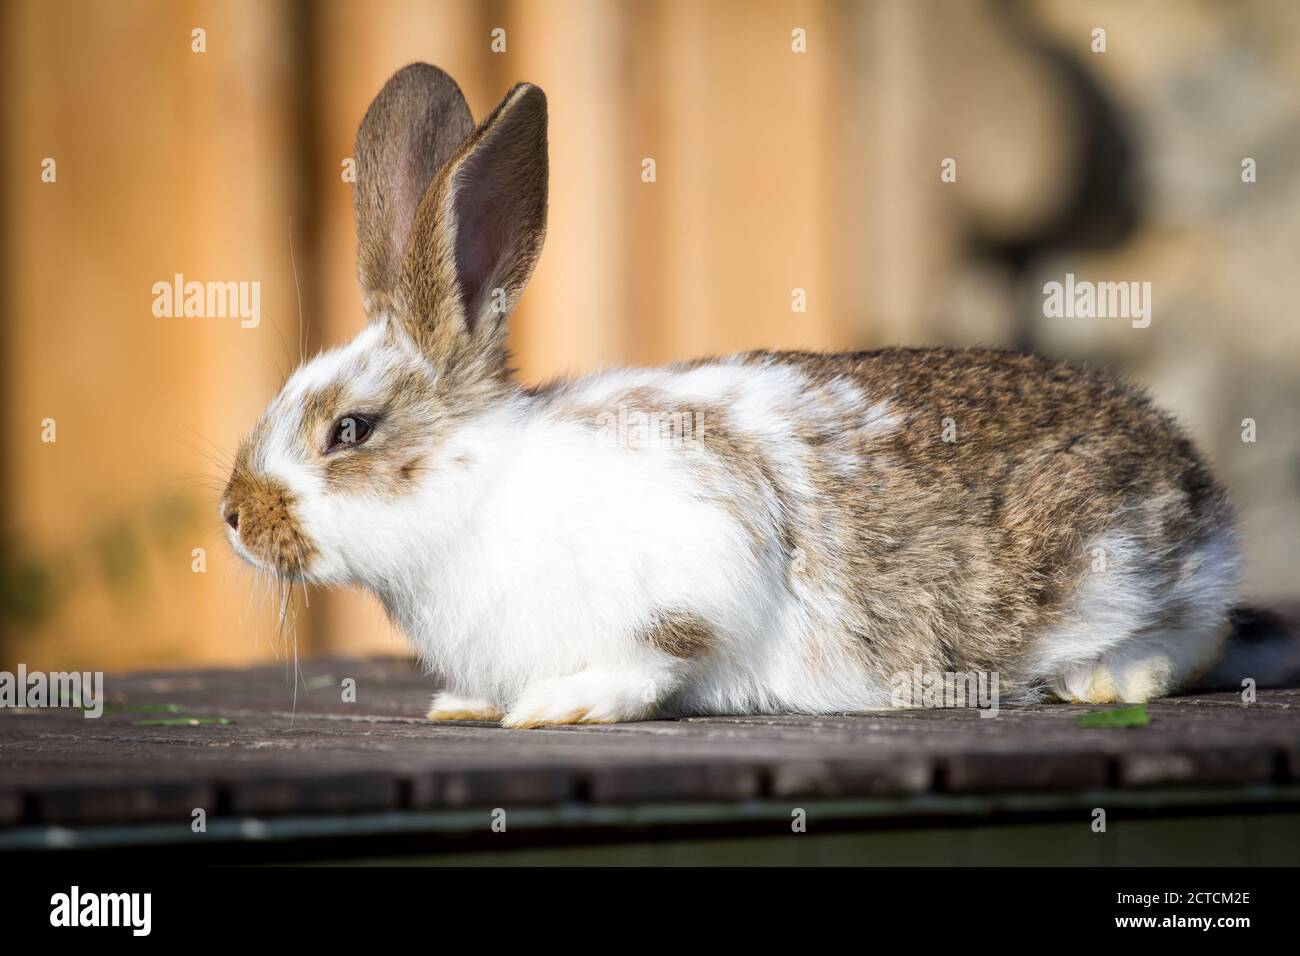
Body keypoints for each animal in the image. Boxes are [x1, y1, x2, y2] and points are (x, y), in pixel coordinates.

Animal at [218, 63, 1294, 728]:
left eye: (348, 429)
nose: (232, 513)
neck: (479, 491)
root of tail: (1196, 484)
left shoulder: (696, 561)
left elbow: (661, 652)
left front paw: (562, 704)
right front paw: (470, 703)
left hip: (1115, 560)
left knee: (1194, 636)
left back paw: (1108, 675)